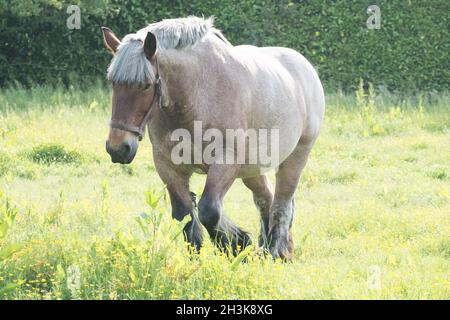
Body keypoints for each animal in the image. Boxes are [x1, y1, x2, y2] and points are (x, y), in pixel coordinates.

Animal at [101, 16, 324, 260]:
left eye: (145, 85)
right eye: (113, 82)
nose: (117, 148)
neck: (197, 96)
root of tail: (305, 67)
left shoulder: (225, 163)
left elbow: (208, 210)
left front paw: (236, 246)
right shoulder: (167, 165)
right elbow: (185, 213)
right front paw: (198, 260)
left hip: (295, 158)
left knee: (281, 206)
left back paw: (277, 253)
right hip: (253, 169)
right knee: (266, 199)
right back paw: (268, 250)